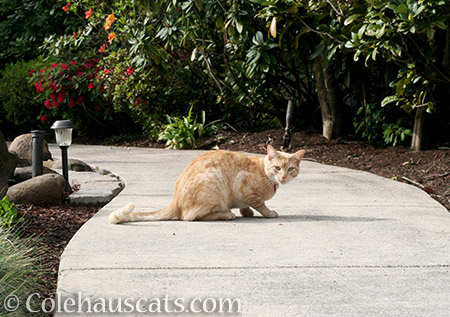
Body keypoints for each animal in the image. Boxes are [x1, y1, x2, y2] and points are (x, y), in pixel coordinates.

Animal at [110, 143, 306, 222]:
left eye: (290, 169)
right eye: (277, 168)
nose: (283, 177)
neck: (264, 172)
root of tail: (175, 201)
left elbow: (246, 206)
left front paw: (247, 212)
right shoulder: (245, 187)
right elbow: (260, 205)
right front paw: (268, 213)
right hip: (214, 183)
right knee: (190, 217)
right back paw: (226, 214)